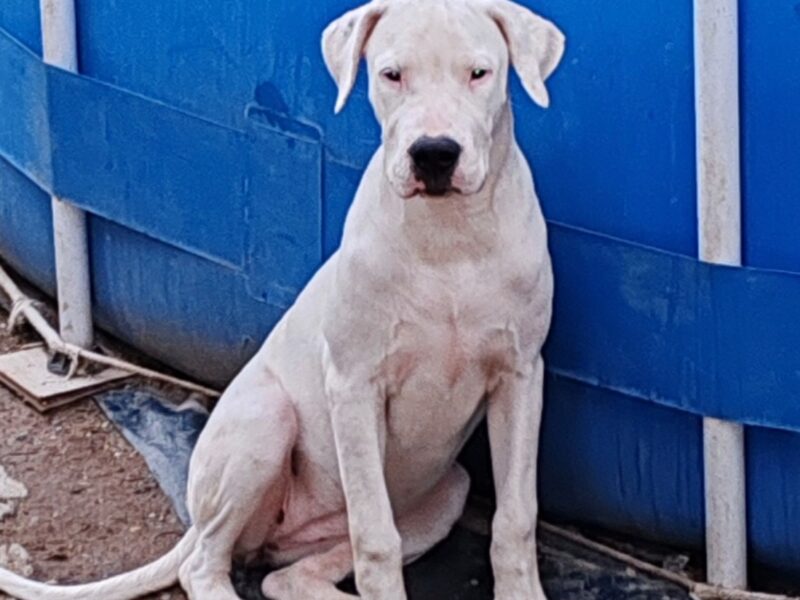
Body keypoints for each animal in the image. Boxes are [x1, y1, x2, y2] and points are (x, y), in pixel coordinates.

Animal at [0, 0, 564, 596]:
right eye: (391, 74)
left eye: (479, 73)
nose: (434, 154)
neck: (449, 237)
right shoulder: (355, 385)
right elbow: (376, 539)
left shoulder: (520, 377)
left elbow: (515, 519)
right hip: (264, 423)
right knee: (208, 563)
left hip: (447, 491)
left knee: (287, 578)